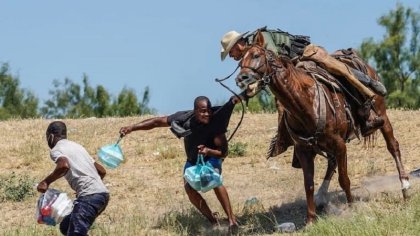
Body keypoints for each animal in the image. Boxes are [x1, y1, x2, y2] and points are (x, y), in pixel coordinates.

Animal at [236, 30, 410, 223]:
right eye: (239, 62)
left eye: (256, 55)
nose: (241, 79)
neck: (305, 102)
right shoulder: (304, 150)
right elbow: (309, 184)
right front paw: (311, 219)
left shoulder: (339, 144)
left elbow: (344, 179)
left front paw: (352, 208)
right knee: (332, 162)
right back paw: (321, 196)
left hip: (382, 116)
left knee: (393, 146)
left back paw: (405, 187)